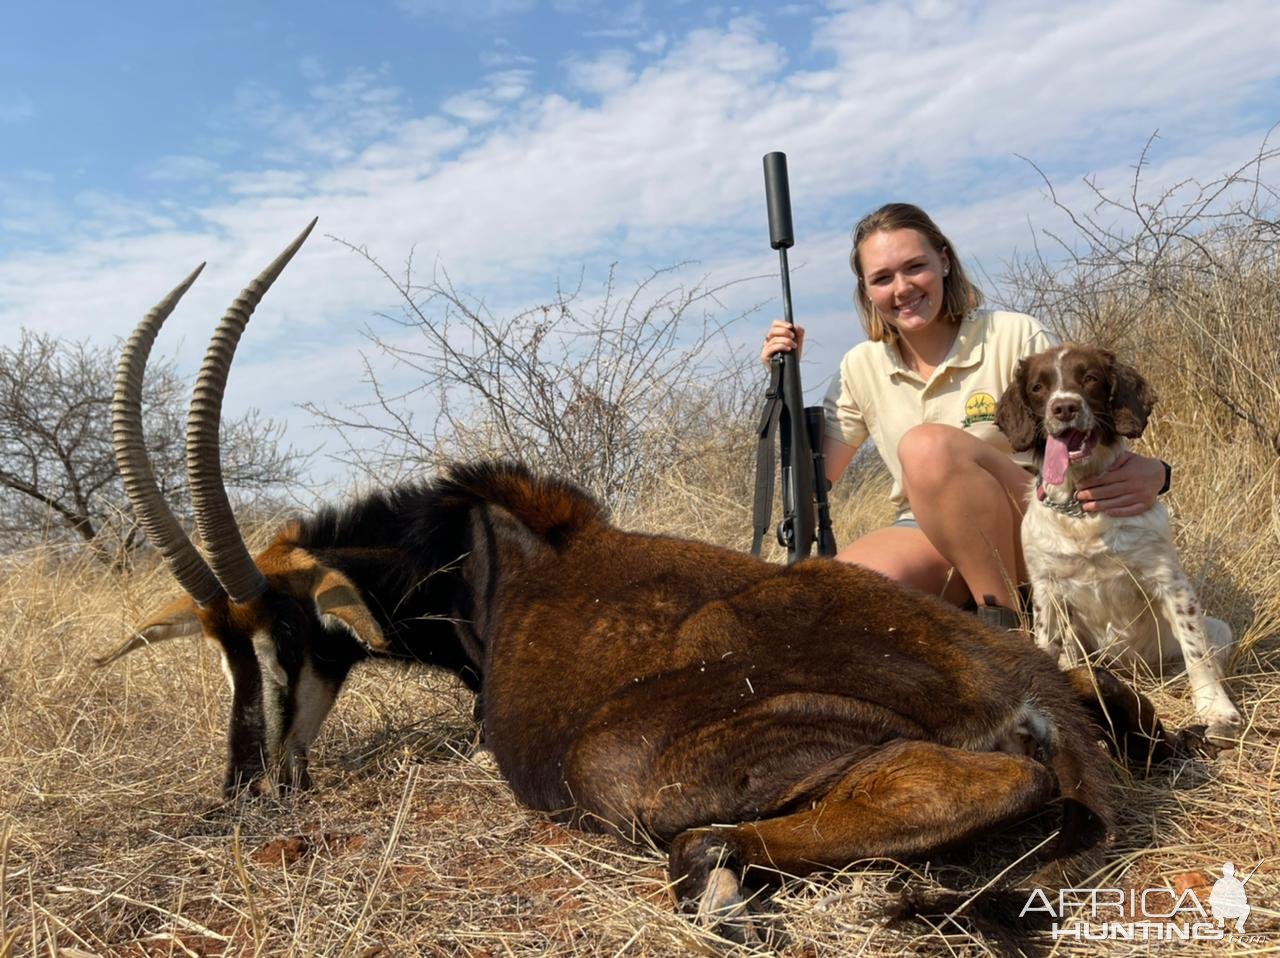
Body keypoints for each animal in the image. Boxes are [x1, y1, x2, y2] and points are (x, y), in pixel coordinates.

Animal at [110, 222, 1187, 937]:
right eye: (221, 650)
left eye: (286, 634)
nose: (248, 784)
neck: (480, 563)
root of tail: (1014, 679)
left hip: (638, 762)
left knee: (961, 782)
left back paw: (731, 881)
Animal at [993, 345, 1244, 742]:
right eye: (1037, 387)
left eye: (1090, 378)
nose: (1064, 407)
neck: (1081, 508)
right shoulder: (1047, 591)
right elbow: (1047, 645)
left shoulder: (1171, 583)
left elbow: (1196, 652)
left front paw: (1216, 708)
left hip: (1218, 628)